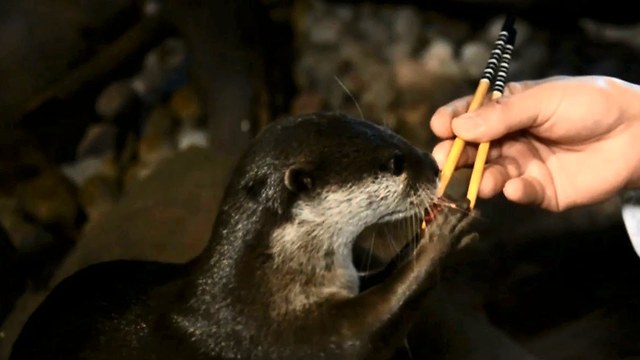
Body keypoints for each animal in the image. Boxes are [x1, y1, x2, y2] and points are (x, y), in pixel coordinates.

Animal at [8, 113, 476, 360]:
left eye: (391, 132)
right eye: (395, 163)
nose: (436, 166)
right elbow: (367, 330)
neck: (264, 289)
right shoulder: (281, 339)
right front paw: (445, 233)